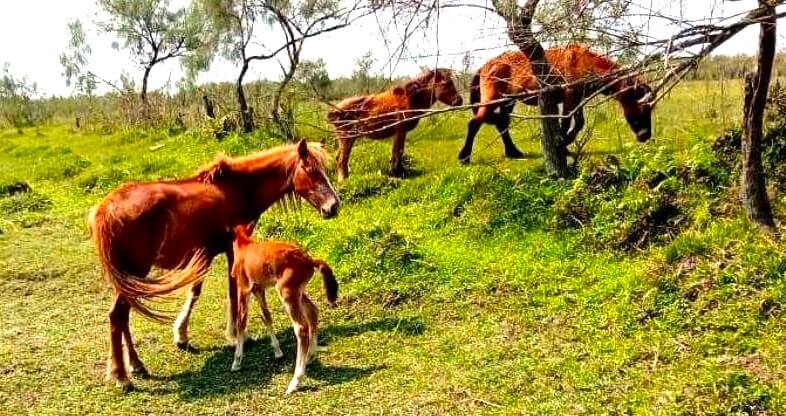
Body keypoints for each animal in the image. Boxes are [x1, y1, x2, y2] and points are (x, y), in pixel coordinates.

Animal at [227, 224, 336, 394]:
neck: (244, 245)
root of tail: (309, 261)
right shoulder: (259, 289)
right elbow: (266, 316)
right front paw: (277, 351)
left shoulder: (244, 289)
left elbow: (241, 322)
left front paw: (237, 361)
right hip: (297, 292)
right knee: (313, 311)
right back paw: (310, 356)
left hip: (287, 293)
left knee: (301, 327)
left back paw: (295, 382)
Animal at [328, 68, 462, 180]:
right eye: (447, 83)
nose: (459, 100)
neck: (411, 98)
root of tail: (333, 112)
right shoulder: (400, 130)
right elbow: (398, 152)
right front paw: (396, 172)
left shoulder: (400, 132)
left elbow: (397, 152)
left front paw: (397, 171)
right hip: (347, 137)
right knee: (342, 159)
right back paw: (343, 180)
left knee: (338, 157)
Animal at [460, 45, 656, 162]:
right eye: (642, 109)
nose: (645, 136)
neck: (585, 62)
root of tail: (486, 65)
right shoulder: (570, 97)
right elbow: (567, 122)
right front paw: (563, 143)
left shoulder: (578, 99)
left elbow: (579, 123)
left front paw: (566, 142)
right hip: (493, 99)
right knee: (475, 123)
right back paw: (464, 157)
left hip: (508, 101)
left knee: (502, 123)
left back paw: (513, 152)